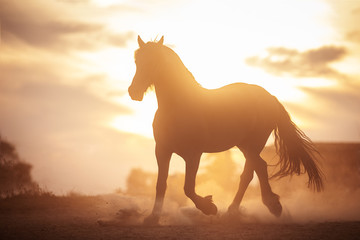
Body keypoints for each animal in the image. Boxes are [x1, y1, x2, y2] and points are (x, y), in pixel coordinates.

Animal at [127, 36, 324, 225]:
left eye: (154, 61)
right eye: (136, 61)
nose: (133, 92)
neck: (178, 107)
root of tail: (270, 97)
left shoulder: (193, 154)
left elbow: (188, 188)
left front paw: (209, 208)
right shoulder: (162, 150)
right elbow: (161, 184)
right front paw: (152, 218)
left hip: (254, 144)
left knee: (250, 172)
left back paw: (254, 209)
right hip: (245, 145)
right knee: (258, 168)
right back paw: (257, 208)